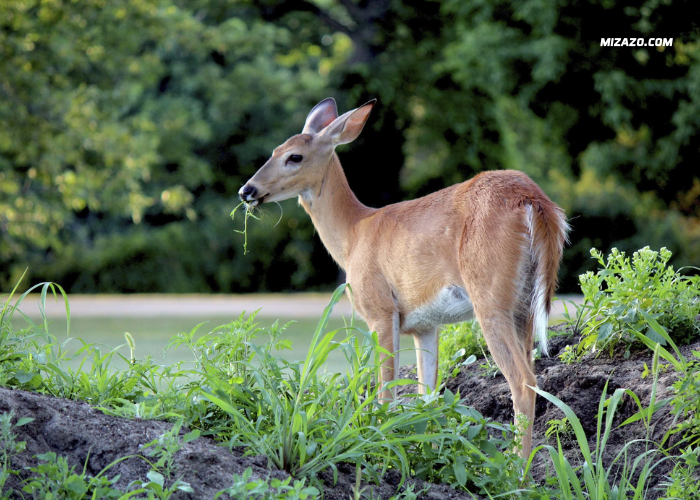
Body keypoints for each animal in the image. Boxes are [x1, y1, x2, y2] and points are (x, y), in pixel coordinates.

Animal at [239, 97, 568, 458]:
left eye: (294, 156)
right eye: (274, 150)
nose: (247, 190)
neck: (353, 235)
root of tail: (535, 202)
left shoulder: (381, 310)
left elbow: (386, 392)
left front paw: (378, 444)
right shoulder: (426, 325)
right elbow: (428, 395)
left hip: (490, 296)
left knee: (523, 381)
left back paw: (514, 467)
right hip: (524, 302)